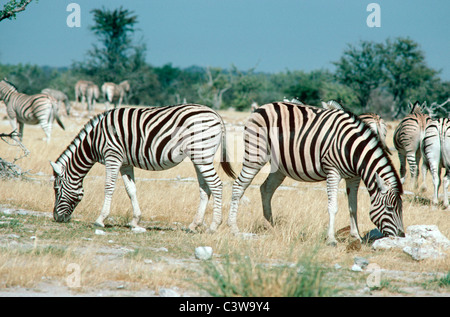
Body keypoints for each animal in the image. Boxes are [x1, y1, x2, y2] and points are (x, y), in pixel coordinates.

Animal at [50, 105, 236, 231]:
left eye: (57, 189)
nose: (56, 218)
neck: (94, 140)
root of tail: (215, 114)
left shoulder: (113, 156)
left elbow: (109, 187)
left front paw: (100, 219)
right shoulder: (125, 163)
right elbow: (131, 189)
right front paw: (135, 221)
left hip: (201, 155)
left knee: (216, 185)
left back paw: (213, 226)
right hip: (199, 157)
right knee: (205, 188)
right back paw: (193, 225)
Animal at [229, 101, 404, 244]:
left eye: (400, 208)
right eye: (389, 208)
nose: (402, 236)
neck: (352, 149)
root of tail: (262, 107)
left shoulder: (354, 177)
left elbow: (353, 206)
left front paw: (356, 237)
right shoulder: (333, 171)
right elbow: (333, 206)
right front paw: (331, 239)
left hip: (280, 165)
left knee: (266, 189)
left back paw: (270, 227)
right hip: (255, 155)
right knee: (238, 186)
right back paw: (234, 229)